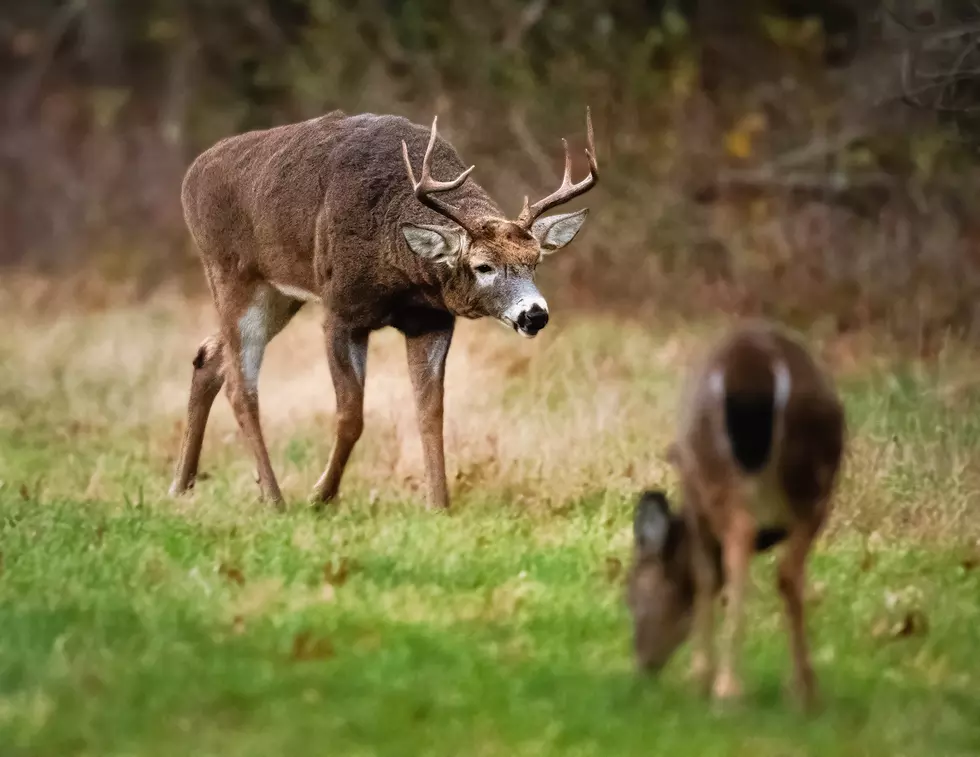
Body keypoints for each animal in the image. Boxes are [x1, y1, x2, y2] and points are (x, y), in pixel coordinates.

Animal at [168, 108, 596, 508]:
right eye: (483, 266)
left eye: (534, 261)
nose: (535, 314)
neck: (399, 268)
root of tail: (190, 175)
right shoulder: (341, 311)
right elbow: (350, 416)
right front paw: (320, 496)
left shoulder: (431, 320)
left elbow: (431, 413)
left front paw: (438, 505)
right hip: (231, 273)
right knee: (241, 388)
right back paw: (274, 499)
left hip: (280, 293)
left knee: (209, 357)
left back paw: (181, 485)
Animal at [628, 318, 848, 708]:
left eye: (631, 594)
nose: (642, 664)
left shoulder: (694, 496)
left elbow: (705, 577)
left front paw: (699, 677)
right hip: (817, 477)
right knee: (788, 572)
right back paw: (804, 690)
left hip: (716, 468)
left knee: (740, 545)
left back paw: (727, 688)